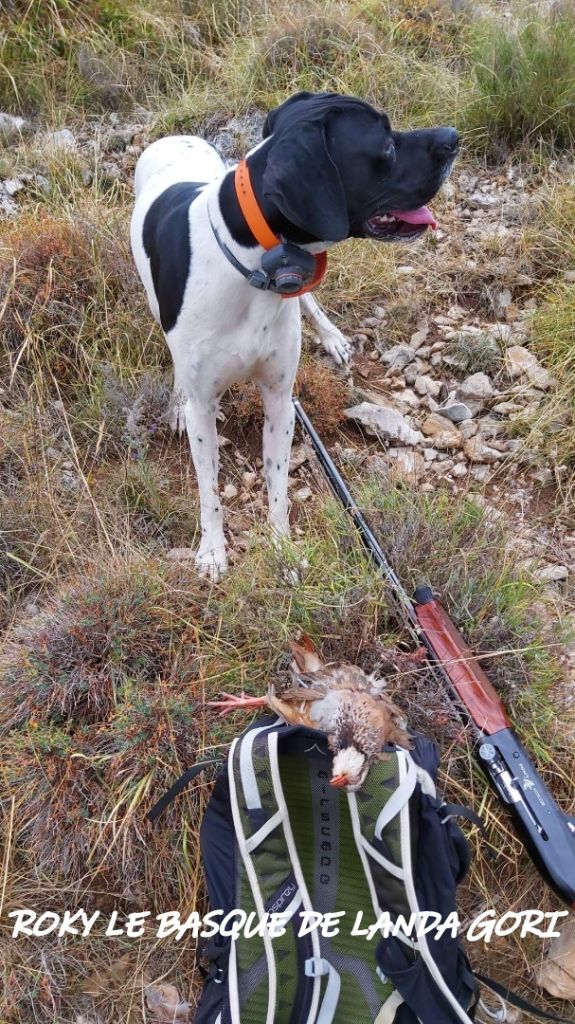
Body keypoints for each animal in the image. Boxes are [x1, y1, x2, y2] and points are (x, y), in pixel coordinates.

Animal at [129, 93, 456, 581]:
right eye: (385, 145)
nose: (454, 137)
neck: (248, 266)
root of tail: (175, 137)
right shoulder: (206, 408)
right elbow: (209, 490)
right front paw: (212, 552)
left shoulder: (281, 399)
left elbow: (278, 483)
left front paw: (281, 548)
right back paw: (174, 401)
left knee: (309, 300)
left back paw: (333, 336)